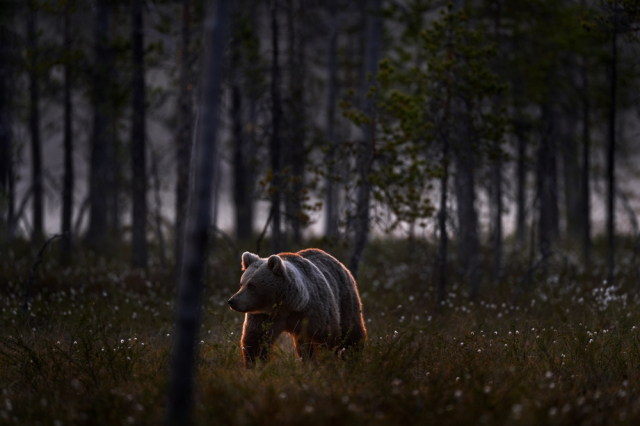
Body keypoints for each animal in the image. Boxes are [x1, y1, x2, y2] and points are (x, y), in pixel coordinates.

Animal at [227, 248, 367, 367]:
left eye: (251, 285)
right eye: (241, 283)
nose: (232, 301)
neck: (288, 305)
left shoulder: (314, 312)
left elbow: (325, 337)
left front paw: (326, 361)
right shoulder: (265, 315)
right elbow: (256, 340)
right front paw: (254, 365)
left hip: (345, 298)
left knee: (351, 332)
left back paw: (353, 358)